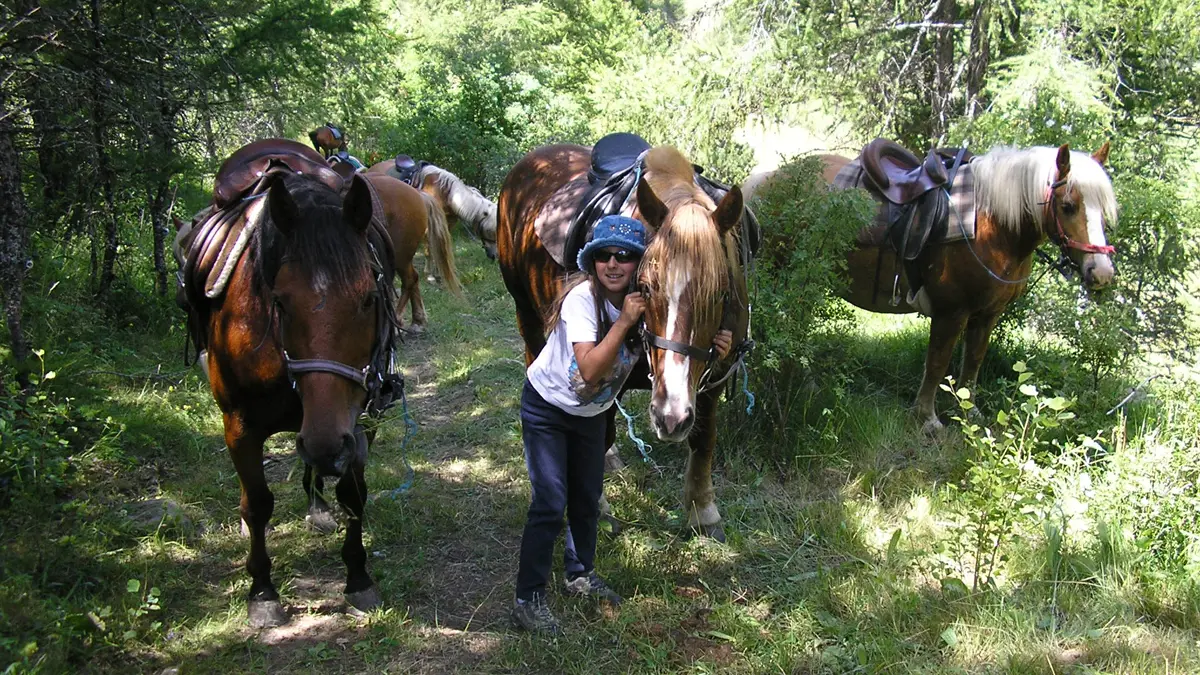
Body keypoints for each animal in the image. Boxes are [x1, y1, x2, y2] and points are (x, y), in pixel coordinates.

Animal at [496, 141, 748, 535]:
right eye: (644, 287)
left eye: (720, 293)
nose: (669, 416)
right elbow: (597, 437)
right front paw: (597, 508)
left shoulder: (713, 379)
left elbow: (703, 438)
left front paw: (703, 511)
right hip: (527, 313)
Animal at [748, 141, 1113, 429]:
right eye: (1068, 206)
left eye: (1105, 212)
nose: (1101, 273)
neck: (992, 224)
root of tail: (767, 179)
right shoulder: (952, 311)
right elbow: (938, 362)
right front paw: (927, 418)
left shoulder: (987, 315)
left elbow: (973, 361)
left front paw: (968, 413)